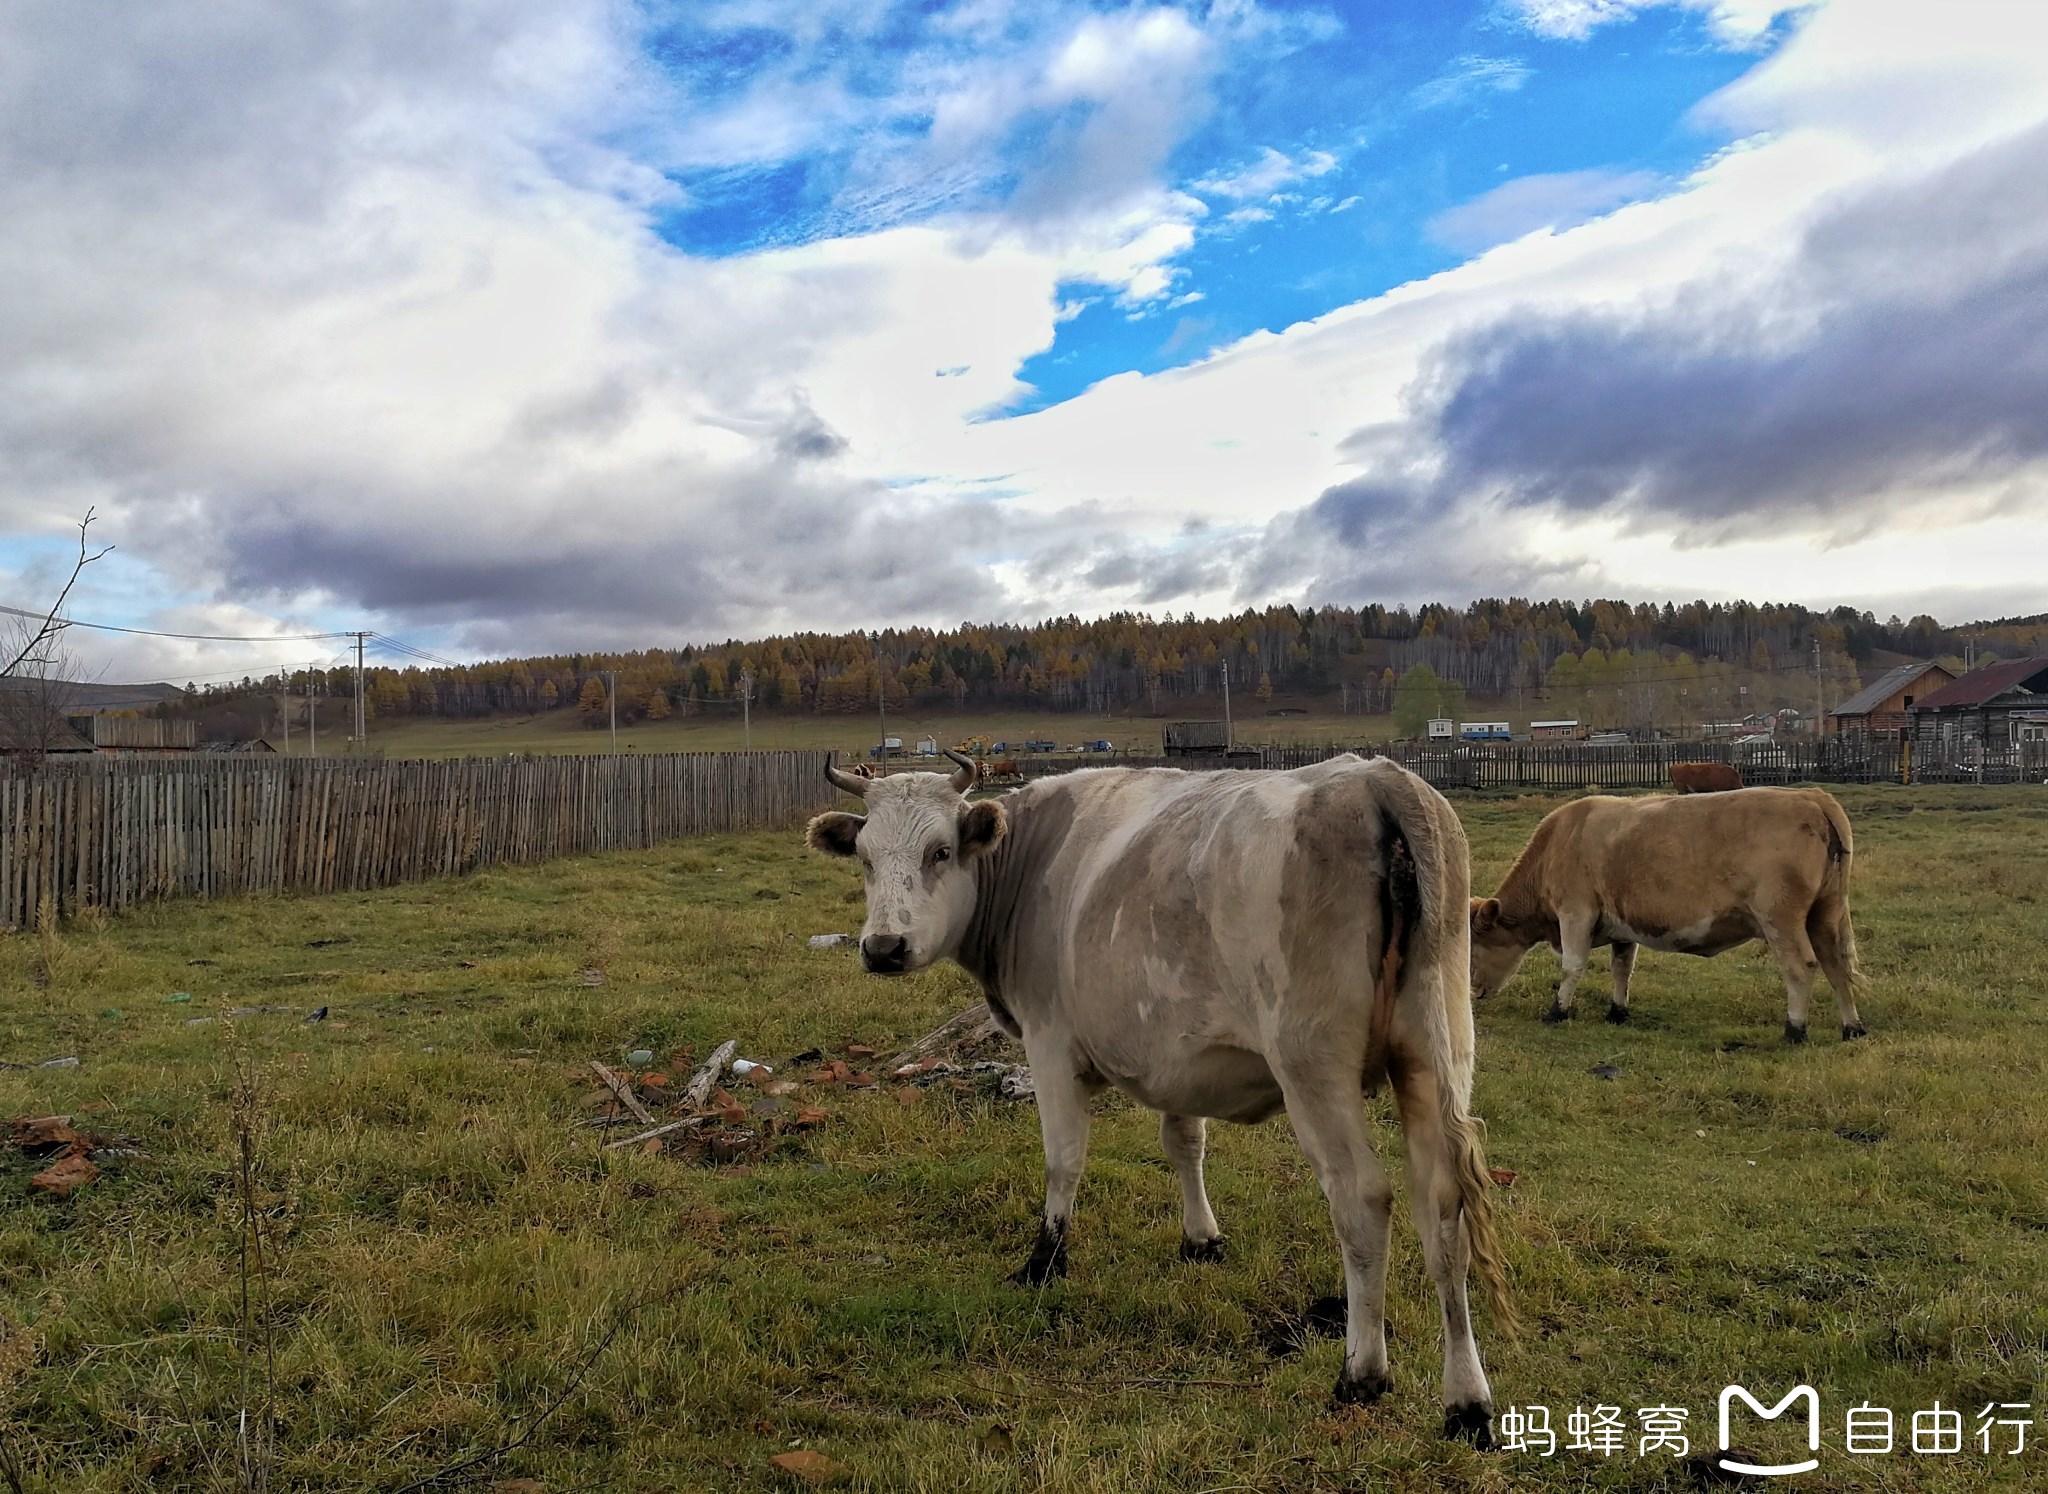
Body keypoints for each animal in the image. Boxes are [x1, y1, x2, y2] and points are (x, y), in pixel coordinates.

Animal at [806, 750, 1515, 1442]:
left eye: (941, 851)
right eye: (865, 858)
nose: (883, 947)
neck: (1032, 864)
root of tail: (1376, 780)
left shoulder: (1050, 1042)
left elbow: (1064, 1159)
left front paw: (1044, 1261)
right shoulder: (1182, 1056)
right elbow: (1184, 1142)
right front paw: (1201, 1239)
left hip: (1314, 1066)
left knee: (1363, 1201)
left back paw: (1361, 1374)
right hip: (1435, 1051)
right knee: (1442, 1206)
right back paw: (1467, 1403)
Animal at [1466, 786, 1867, 1045]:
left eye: (1472, 948)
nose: (1472, 992)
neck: (1560, 841)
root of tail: (1811, 796)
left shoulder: (1576, 912)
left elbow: (1572, 966)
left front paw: (1558, 1011)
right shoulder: (1622, 923)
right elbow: (1621, 967)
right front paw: (1617, 1011)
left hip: (1780, 918)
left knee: (1801, 967)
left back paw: (1795, 1030)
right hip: (1826, 914)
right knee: (1835, 965)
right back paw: (1852, 1028)